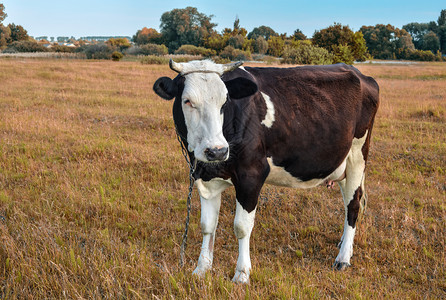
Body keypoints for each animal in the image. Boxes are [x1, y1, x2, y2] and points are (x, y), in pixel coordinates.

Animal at [153, 59, 380, 284]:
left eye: (224, 102)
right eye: (187, 101)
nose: (217, 150)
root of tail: (358, 73)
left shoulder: (251, 175)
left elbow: (242, 227)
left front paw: (241, 274)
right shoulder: (205, 177)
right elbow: (207, 225)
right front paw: (202, 269)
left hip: (358, 155)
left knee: (353, 204)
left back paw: (343, 258)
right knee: (348, 203)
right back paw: (343, 243)